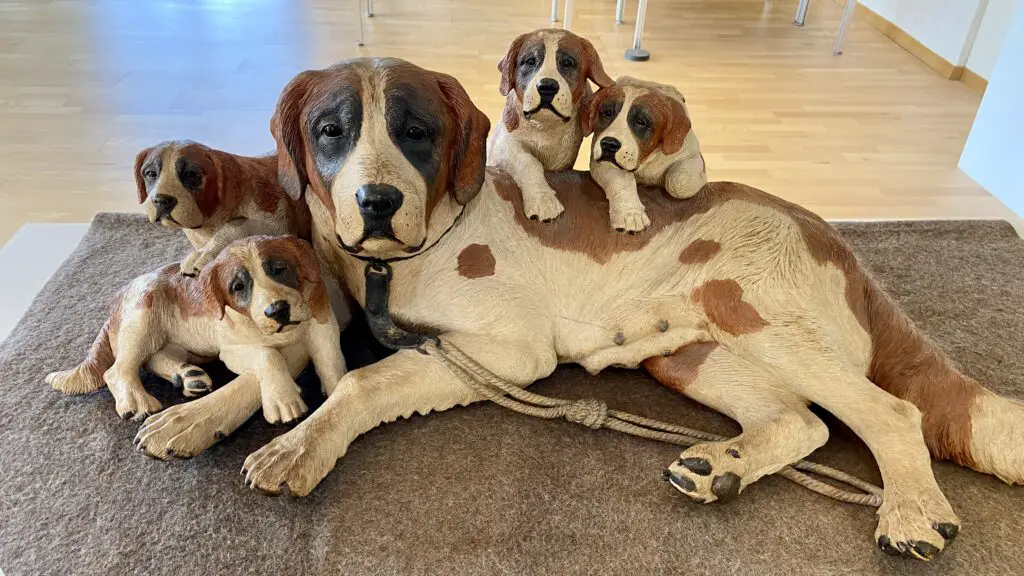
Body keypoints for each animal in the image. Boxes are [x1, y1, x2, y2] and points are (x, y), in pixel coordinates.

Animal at [47, 235, 348, 440]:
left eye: (278, 269)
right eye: (238, 286)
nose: (278, 310)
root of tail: (118, 298)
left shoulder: (322, 324)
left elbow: (331, 359)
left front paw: (336, 392)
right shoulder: (232, 350)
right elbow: (268, 355)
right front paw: (284, 400)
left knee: (154, 358)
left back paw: (188, 377)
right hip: (142, 315)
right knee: (118, 369)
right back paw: (136, 401)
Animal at [136, 142, 311, 276]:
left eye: (190, 174)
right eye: (150, 173)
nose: (161, 200)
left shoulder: (277, 220)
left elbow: (236, 225)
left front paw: (204, 253)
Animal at [485, 28, 610, 222]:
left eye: (567, 63)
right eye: (530, 61)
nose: (547, 87)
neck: (545, 127)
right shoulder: (505, 145)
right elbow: (528, 161)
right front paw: (543, 200)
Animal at [581, 77, 708, 231]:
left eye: (641, 121)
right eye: (607, 113)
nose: (609, 144)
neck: (647, 160)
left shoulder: (693, 156)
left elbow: (679, 182)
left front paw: (701, 178)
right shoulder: (601, 163)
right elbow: (621, 181)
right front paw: (630, 214)